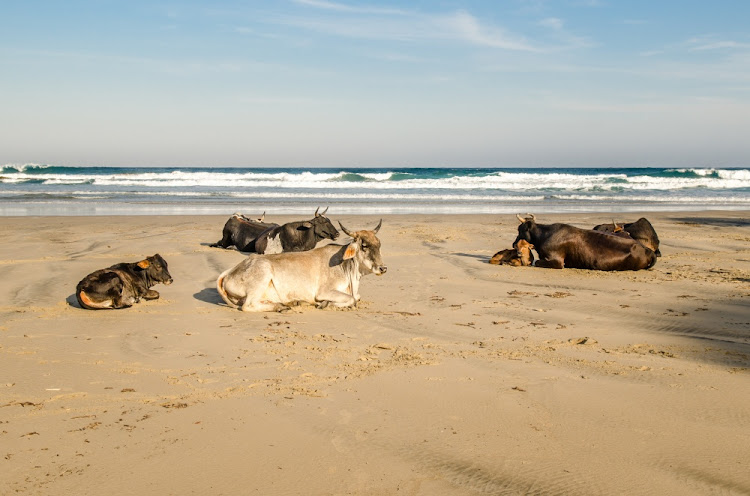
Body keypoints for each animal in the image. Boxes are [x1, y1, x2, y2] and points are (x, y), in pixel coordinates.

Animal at [214, 220, 384, 310]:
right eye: (364, 246)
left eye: (379, 244)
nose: (383, 268)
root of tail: (231, 271)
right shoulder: (324, 291)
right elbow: (351, 299)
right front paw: (324, 303)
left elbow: (357, 297)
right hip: (262, 276)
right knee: (248, 305)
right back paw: (281, 307)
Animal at [516, 214, 656, 272]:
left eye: (520, 229)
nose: (513, 244)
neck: (544, 234)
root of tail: (648, 250)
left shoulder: (557, 261)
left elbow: (536, 262)